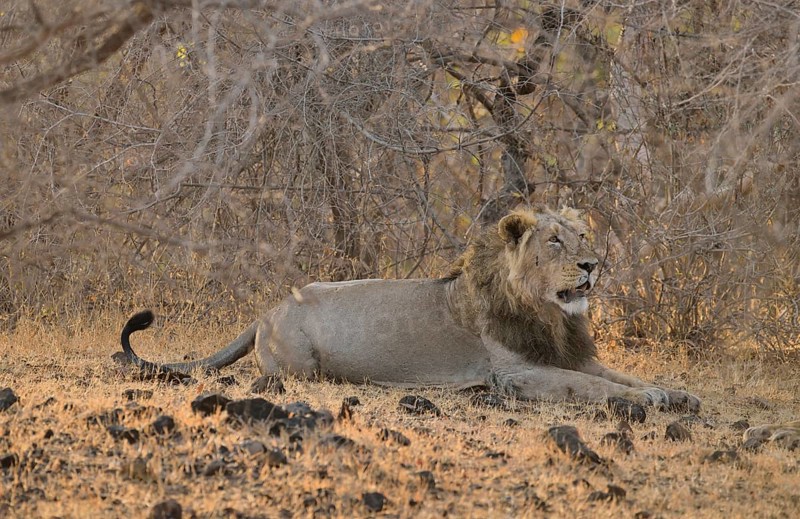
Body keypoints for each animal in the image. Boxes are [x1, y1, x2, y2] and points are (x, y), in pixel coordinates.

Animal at [121, 207, 700, 411]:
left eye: (582, 235)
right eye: (555, 241)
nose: (592, 264)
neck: (552, 315)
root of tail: (266, 311)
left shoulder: (573, 354)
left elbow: (619, 375)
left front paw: (671, 392)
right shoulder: (517, 373)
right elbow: (590, 387)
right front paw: (647, 400)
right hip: (301, 366)